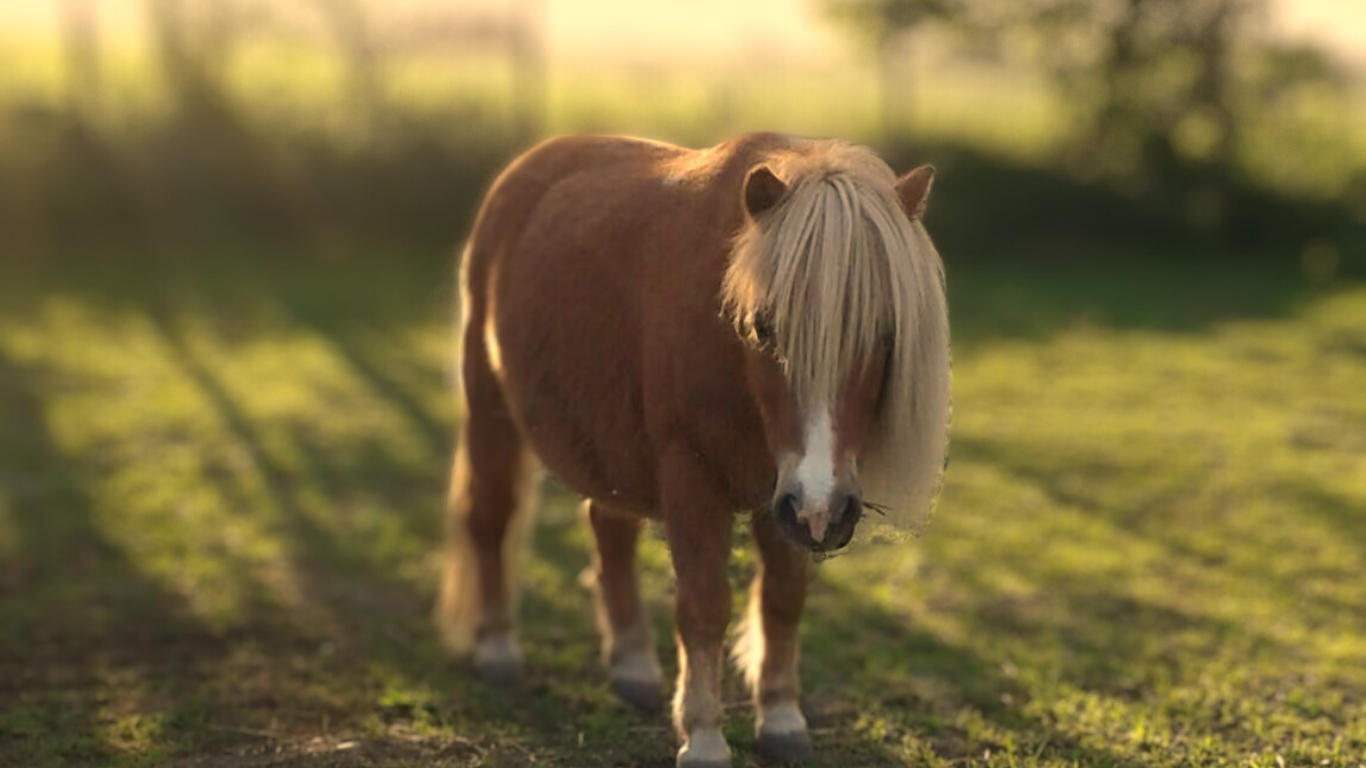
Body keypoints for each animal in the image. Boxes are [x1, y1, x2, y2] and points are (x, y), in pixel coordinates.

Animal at [437, 133, 950, 765]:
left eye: (885, 334)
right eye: (764, 328)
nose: (823, 511)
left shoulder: (783, 500)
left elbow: (782, 598)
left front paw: (782, 718)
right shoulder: (695, 481)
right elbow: (704, 605)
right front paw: (703, 736)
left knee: (609, 530)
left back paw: (632, 665)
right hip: (491, 409)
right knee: (490, 516)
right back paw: (497, 649)